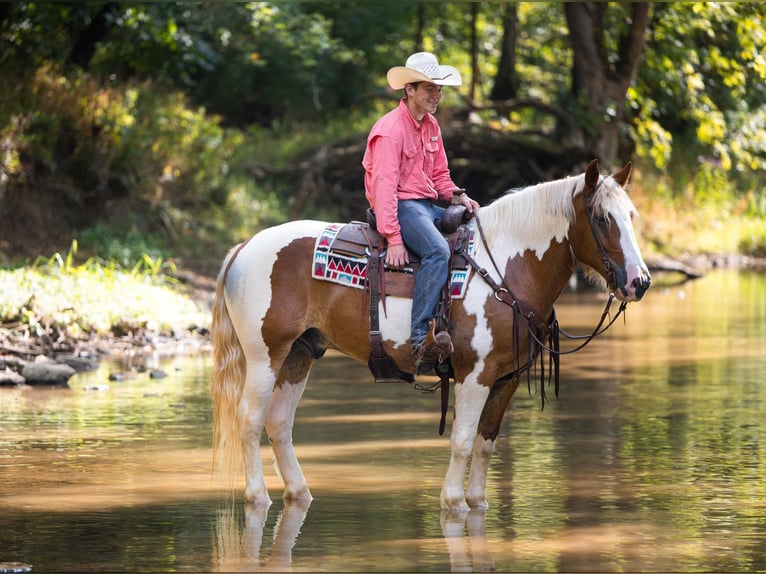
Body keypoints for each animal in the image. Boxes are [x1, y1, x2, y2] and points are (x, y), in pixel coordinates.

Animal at [210, 159, 652, 512]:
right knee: (250, 419)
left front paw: (477, 502)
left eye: (630, 216)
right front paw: (453, 501)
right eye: (601, 218)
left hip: (300, 355)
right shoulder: (474, 375)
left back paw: (300, 493)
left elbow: (486, 442)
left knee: (279, 422)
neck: (507, 267)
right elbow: (462, 440)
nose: (640, 282)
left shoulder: (507, 378)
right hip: (265, 356)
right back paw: (258, 496)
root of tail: (244, 247)